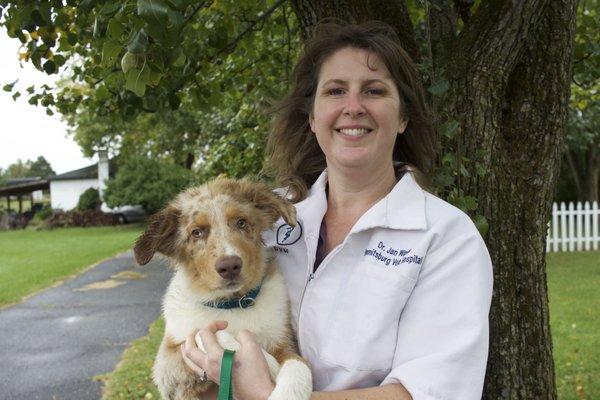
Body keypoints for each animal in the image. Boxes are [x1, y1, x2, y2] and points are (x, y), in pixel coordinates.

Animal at [134, 178, 312, 400]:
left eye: (241, 222)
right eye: (197, 232)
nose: (230, 267)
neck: (233, 303)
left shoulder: (285, 342)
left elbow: (299, 365)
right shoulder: (168, 365)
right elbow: (204, 333)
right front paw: (270, 366)